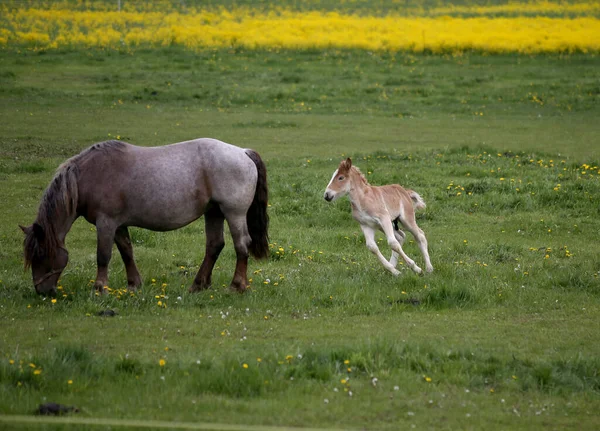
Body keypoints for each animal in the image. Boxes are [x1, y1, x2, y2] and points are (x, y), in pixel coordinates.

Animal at [21, 138, 268, 296]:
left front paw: (99, 288)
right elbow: (126, 252)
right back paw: (198, 285)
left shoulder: (106, 223)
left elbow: (103, 256)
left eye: (41, 254)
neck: (88, 176)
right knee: (214, 246)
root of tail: (243, 152)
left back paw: (237, 285)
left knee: (241, 245)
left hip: (233, 213)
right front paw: (133, 284)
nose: (42, 291)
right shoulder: (118, 225)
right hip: (213, 212)